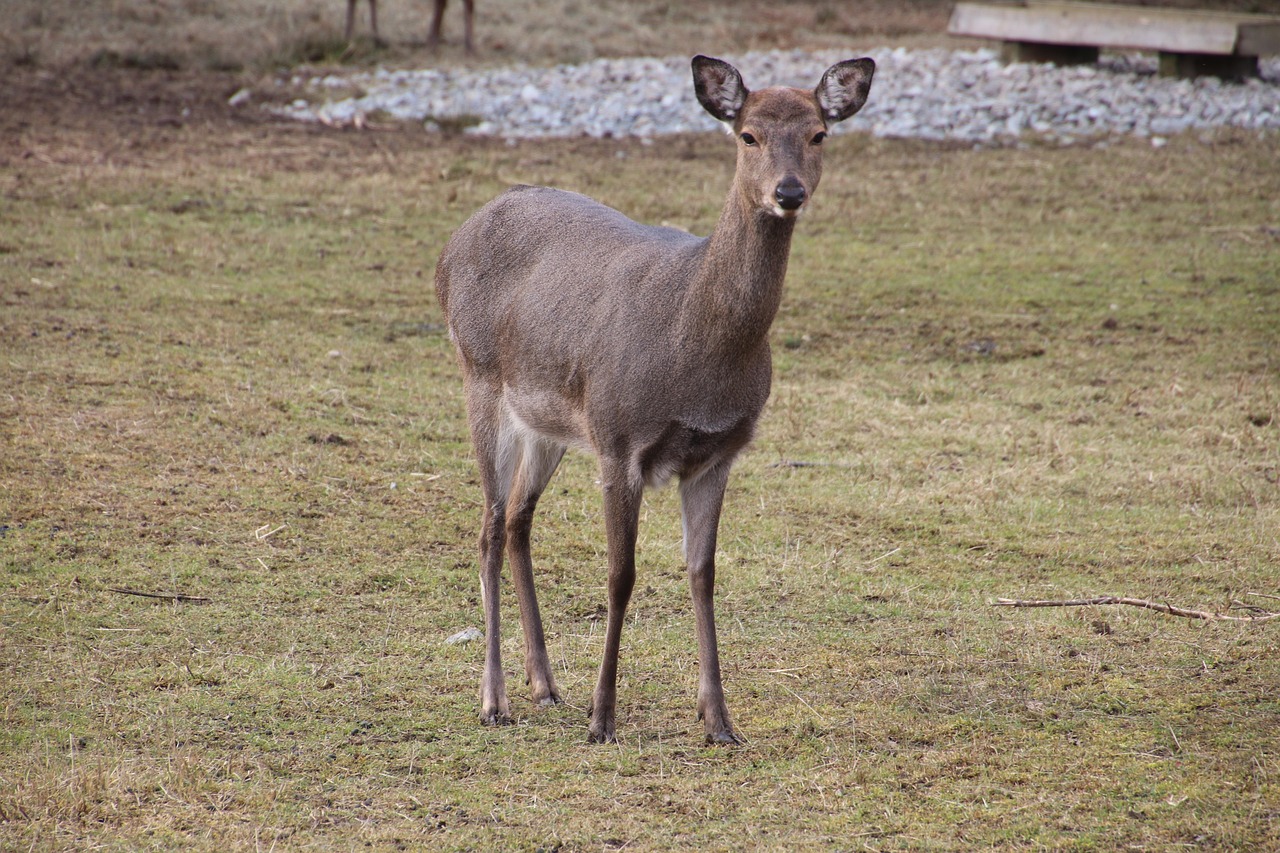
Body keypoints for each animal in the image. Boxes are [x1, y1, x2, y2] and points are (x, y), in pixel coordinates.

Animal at [434, 54, 875, 744]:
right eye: (747, 135)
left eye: (819, 134)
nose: (789, 192)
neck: (697, 348)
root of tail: (450, 249)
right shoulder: (619, 440)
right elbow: (621, 576)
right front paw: (603, 718)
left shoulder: (719, 454)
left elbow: (703, 574)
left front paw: (719, 719)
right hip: (480, 378)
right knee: (484, 527)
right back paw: (495, 699)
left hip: (550, 421)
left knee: (515, 519)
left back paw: (545, 684)